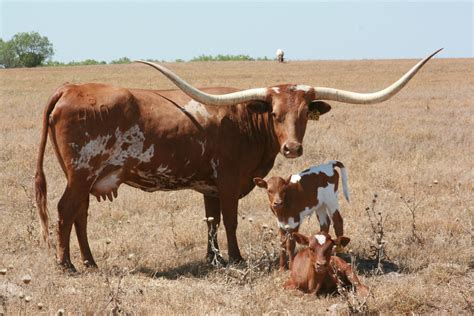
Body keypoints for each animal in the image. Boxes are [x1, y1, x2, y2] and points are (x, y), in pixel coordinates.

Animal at [36, 50, 440, 272]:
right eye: (275, 113)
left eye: (305, 114)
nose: (292, 149)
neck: (246, 121)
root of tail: (70, 88)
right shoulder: (229, 182)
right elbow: (229, 221)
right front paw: (235, 258)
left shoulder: (209, 187)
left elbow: (211, 222)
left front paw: (213, 258)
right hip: (81, 173)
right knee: (64, 211)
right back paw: (67, 264)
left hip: (86, 178)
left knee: (80, 215)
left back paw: (89, 261)